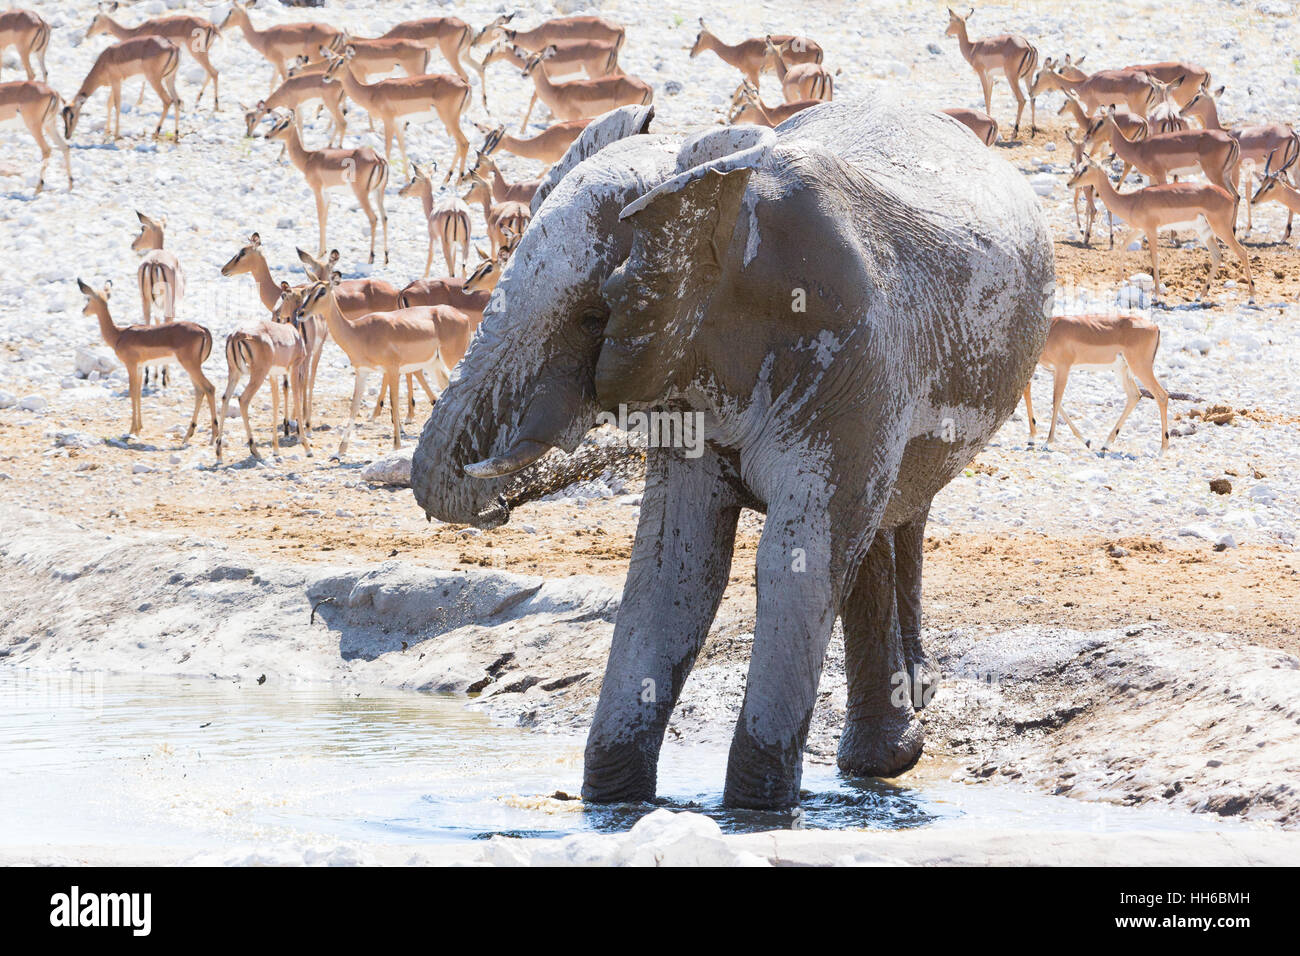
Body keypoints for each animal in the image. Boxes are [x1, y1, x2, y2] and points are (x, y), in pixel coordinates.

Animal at [411, 96, 1054, 809]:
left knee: (881, 519)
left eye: (593, 316)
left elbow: (793, 562)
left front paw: (753, 813)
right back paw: (885, 757)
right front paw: (616, 804)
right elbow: (674, 567)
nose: (494, 504)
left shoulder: (852, 355)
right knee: (872, 534)